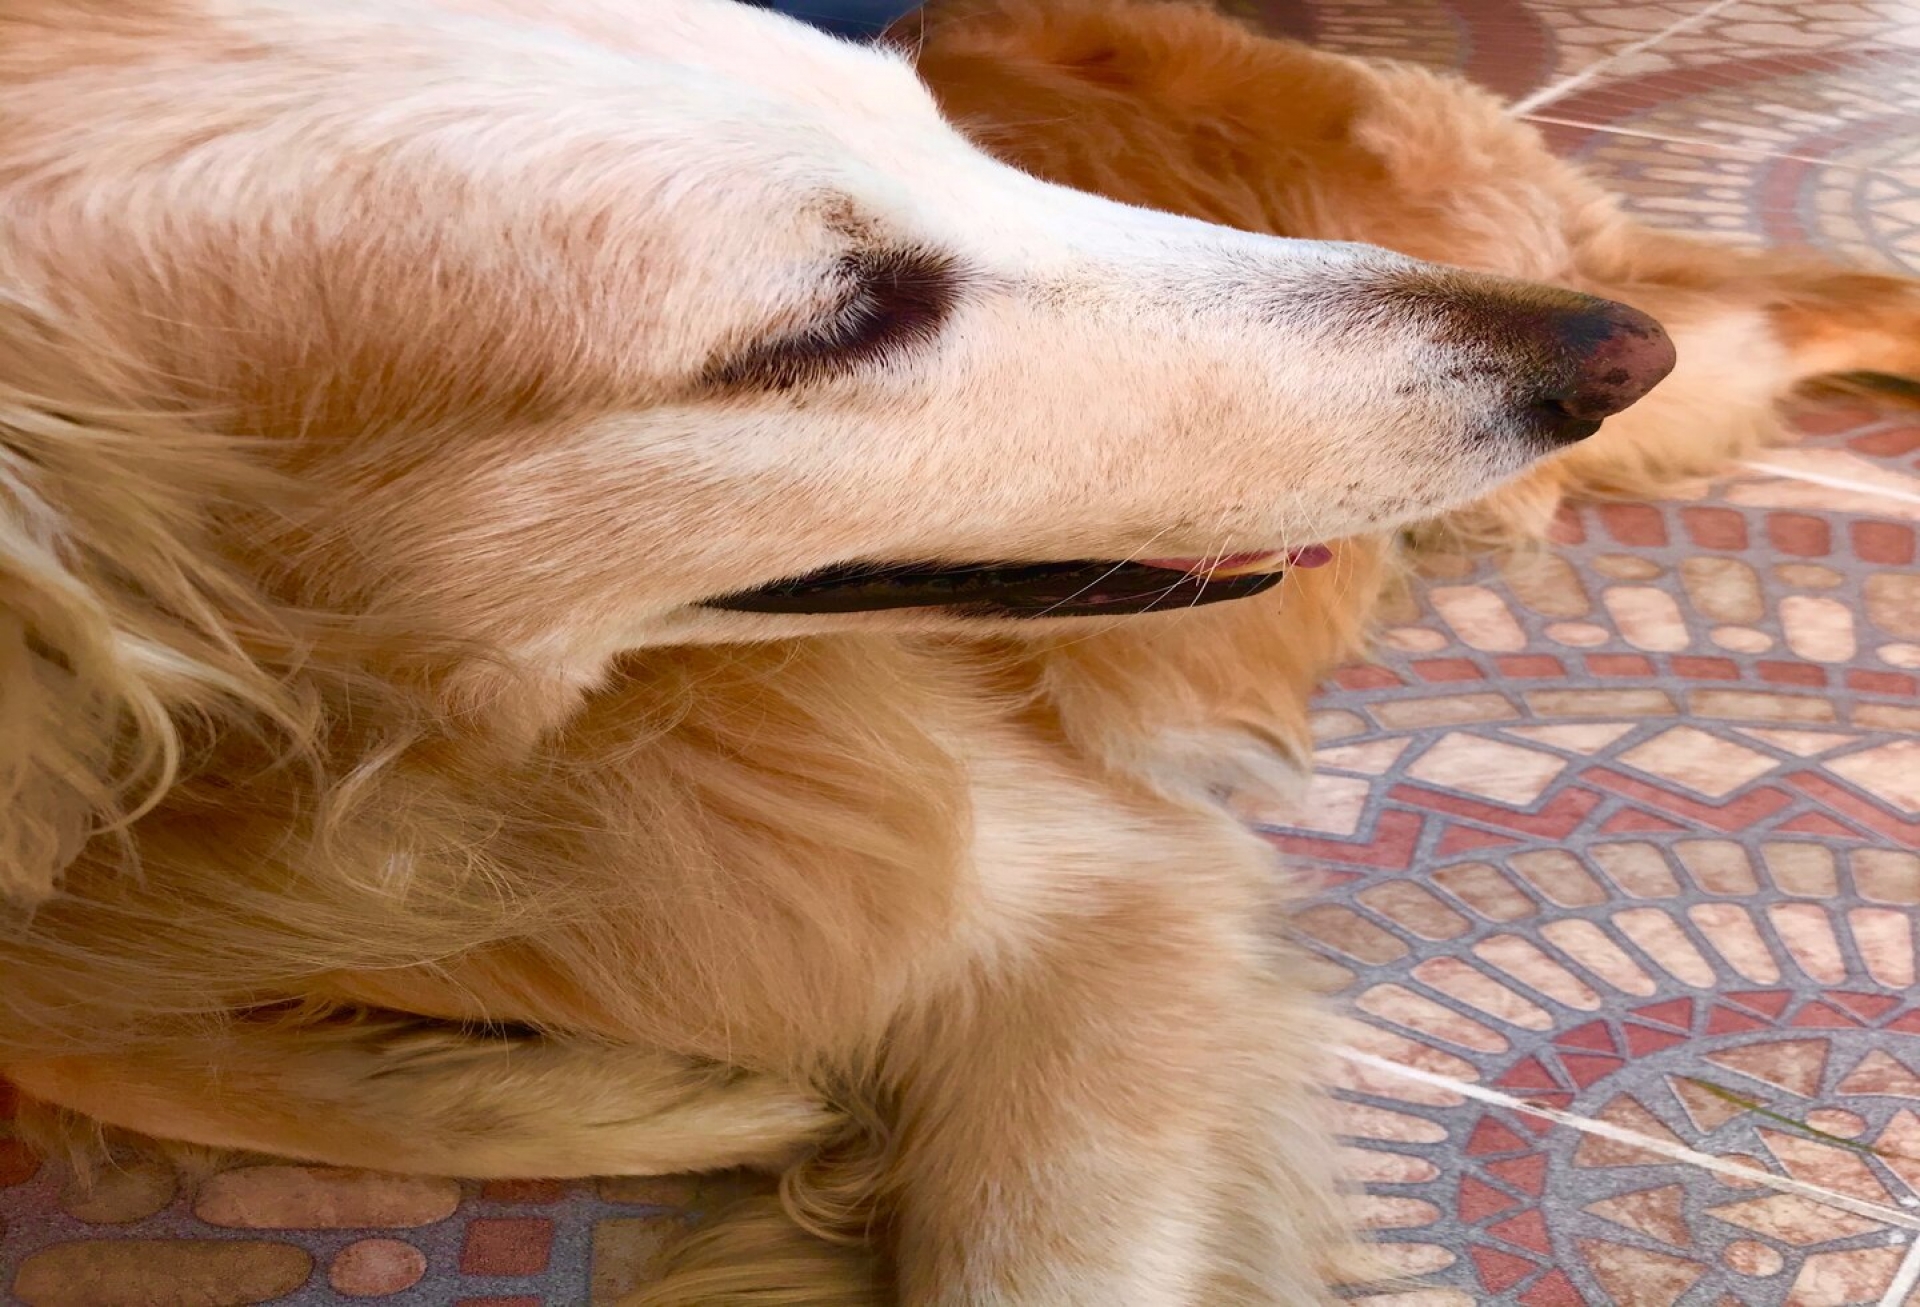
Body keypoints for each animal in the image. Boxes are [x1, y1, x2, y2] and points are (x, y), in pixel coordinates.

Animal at [0, 0, 1912, 1303]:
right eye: (838, 320)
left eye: (942, 136)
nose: (1594, 353)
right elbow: (94, 1043)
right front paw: (643, 1097)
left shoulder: (1100, 909)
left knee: (1808, 297)